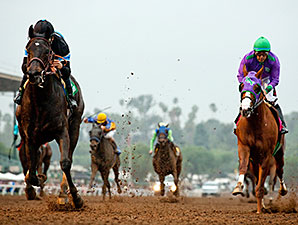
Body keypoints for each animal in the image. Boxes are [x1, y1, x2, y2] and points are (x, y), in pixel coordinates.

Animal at [15, 35, 84, 209]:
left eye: (48, 51)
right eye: (28, 50)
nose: (34, 73)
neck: (41, 102)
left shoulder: (62, 131)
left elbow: (65, 163)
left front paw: (75, 197)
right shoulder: (29, 136)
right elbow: (30, 166)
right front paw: (32, 185)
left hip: (75, 127)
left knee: (69, 156)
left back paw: (63, 193)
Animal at [232, 66, 288, 214]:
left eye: (257, 88)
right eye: (241, 86)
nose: (245, 109)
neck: (255, 124)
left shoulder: (267, 155)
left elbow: (262, 185)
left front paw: (259, 210)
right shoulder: (244, 146)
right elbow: (243, 166)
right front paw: (238, 187)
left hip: (279, 153)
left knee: (280, 170)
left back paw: (282, 190)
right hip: (254, 161)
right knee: (257, 177)